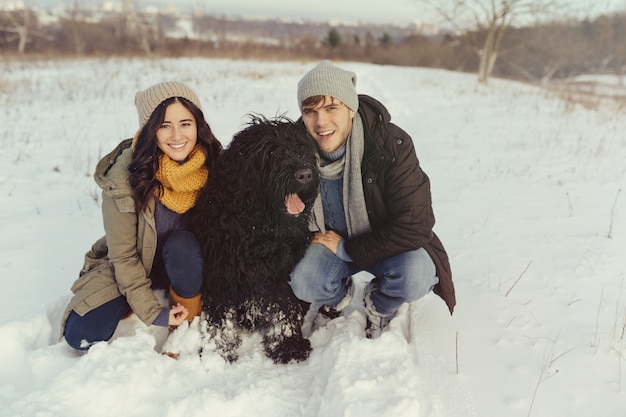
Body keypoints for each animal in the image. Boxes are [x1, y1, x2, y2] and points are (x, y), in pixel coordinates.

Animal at [189, 114, 316, 364]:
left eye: (302, 147)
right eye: (271, 151)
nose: (305, 174)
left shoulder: (279, 273)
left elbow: (285, 307)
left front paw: (288, 344)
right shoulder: (221, 273)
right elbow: (219, 319)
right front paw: (217, 352)